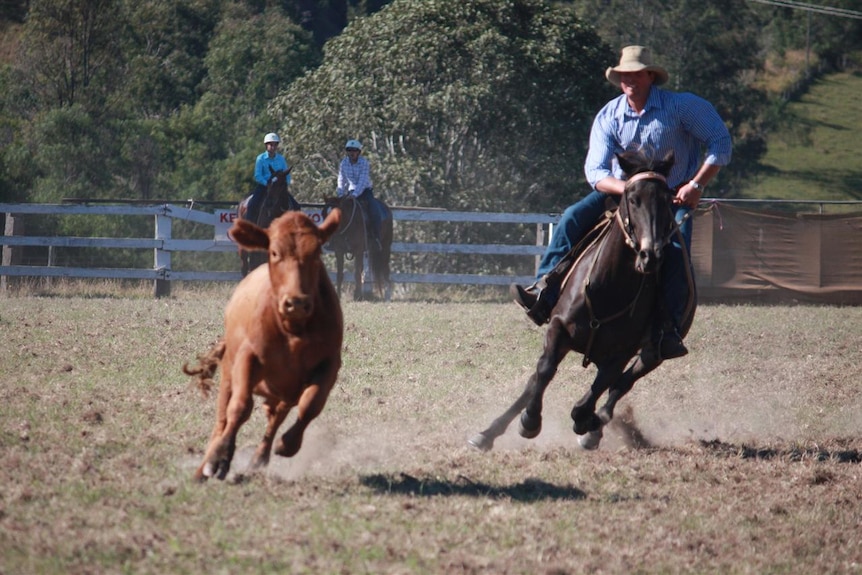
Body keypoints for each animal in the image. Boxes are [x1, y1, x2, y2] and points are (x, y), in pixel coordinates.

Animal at [184, 208, 342, 482]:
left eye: (317, 252)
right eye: (274, 252)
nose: (296, 302)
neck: (293, 330)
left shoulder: (329, 364)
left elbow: (310, 405)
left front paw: (288, 444)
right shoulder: (248, 358)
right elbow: (240, 407)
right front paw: (218, 459)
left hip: (285, 391)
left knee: (276, 416)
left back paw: (260, 456)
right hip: (229, 373)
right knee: (223, 418)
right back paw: (205, 466)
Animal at [470, 150, 700, 454]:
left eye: (668, 199)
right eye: (632, 198)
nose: (651, 255)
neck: (609, 289)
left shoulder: (621, 353)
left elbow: (594, 394)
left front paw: (586, 422)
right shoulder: (559, 328)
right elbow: (543, 372)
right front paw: (530, 421)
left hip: (654, 352)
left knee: (622, 384)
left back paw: (595, 427)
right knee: (537, 381)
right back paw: (487, 433)